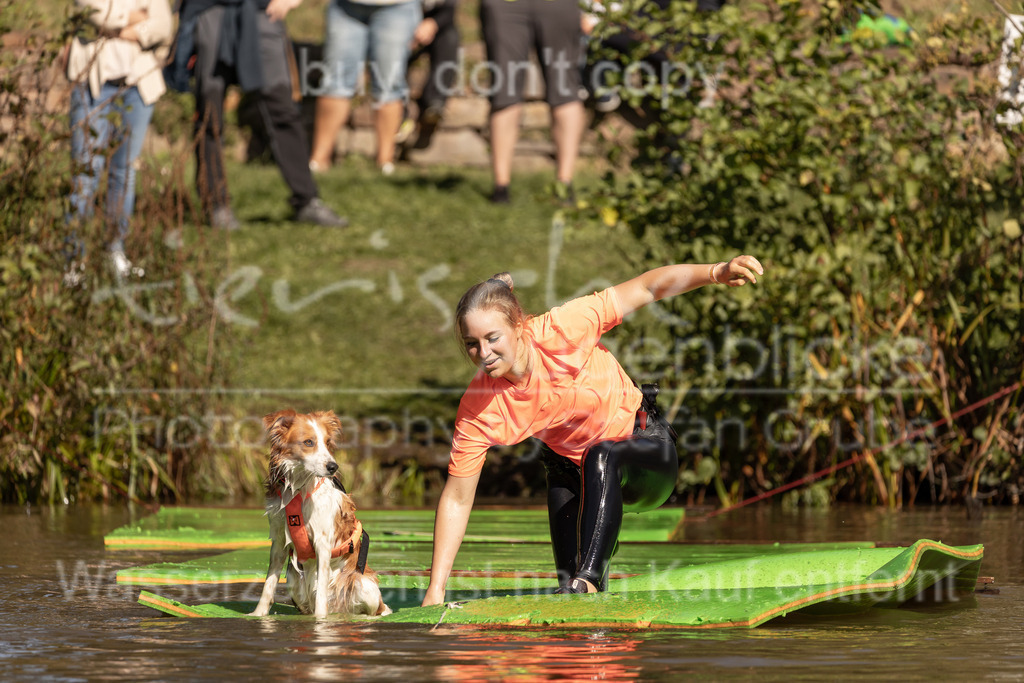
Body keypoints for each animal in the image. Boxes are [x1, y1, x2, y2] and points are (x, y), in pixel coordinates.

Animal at [249, 411, 389, 618]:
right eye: (308, 442)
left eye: (328, 442)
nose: (333, 466)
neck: (298, 489)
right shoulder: (279, 541)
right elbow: (269, 584)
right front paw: (258, 614)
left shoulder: (322, 543)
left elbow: (321, 592)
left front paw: (320, 620)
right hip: (293, 582)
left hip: (364, 585)